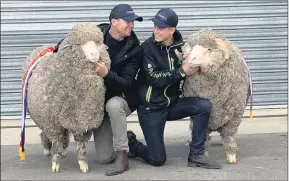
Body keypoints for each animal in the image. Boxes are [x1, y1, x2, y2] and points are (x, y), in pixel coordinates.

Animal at [22, 23, 110, 173]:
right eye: (78, 44)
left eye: (98, 42)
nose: (94, 55)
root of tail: (43, 47)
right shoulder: (52, 123)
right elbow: (56, 142)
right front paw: (55, 163)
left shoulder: (83, 121)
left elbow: (81, 146)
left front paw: (83, 164)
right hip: (43, 114)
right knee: (46, 134)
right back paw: (48, 149)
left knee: (64, 136)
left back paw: (63, 151)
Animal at [177, 28, 249, 164]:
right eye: (192, 49)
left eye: (209, 49)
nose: (191, 60)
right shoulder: (201, 117)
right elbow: (203, 137)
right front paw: (203, 153)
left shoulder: (235, 116)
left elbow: (229, 135)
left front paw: (231, 155)